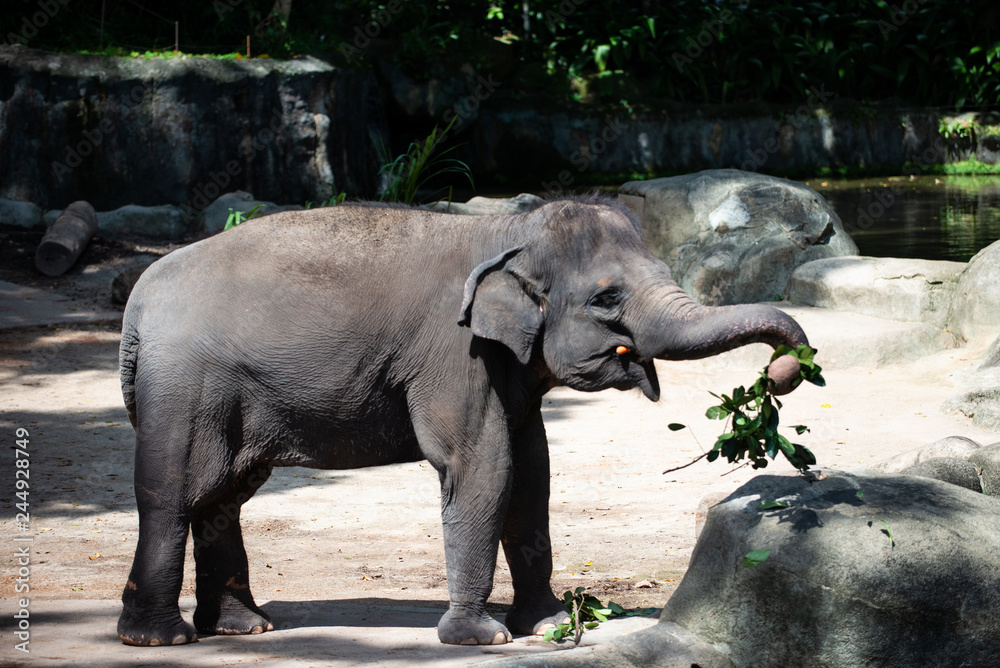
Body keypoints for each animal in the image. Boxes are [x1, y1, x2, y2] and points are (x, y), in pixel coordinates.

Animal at [116, 195, 809, 647]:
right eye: (607, 299)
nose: (782, 371)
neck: (504, 229)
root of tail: (138, 300)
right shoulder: (456, 353)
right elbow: (482, 466)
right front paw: (482, 637)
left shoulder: (507, 366)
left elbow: (532, 474)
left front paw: (547, 624)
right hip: (184, 386)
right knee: (174, 492)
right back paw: (158, 638)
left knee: (224, 495)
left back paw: (242, 628)